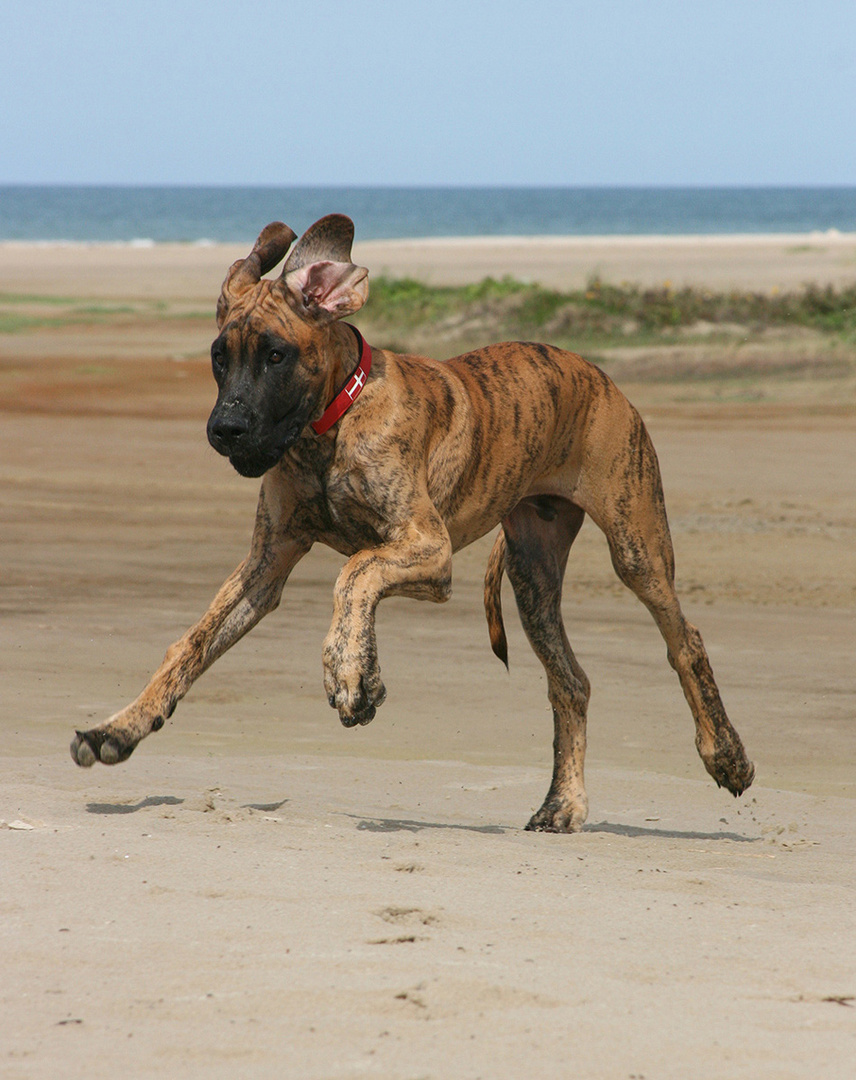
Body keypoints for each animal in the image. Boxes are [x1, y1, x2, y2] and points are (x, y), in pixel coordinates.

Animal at [73, 214, 755, 829]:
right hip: (532, 575)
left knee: (685, 642)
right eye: (219, 357)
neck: (330, 427)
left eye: (276, 355)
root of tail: (600, 376)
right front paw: (120, 728)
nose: (225, 430)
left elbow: (354, 572)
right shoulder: (267, 566)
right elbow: (192, 644)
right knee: (571, 682)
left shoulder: (429, 549)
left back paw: (726, 756)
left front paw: (348, 673)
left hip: (636, 543)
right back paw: (562, 805)